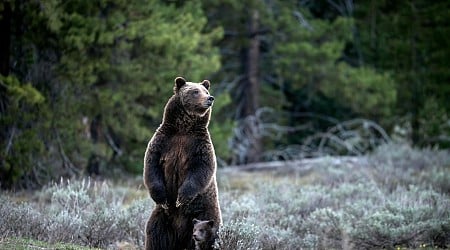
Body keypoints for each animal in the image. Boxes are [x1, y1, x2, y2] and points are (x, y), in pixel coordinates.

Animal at [144, 76, 221, 250]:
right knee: (155, 235)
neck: (184, 128)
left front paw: (181, 197)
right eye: (195, 91)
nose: (210, 99)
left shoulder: (199, 145)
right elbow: (151, 166)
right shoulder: (163, 141)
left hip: (204, 214)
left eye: (206, 91)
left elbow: (202, 169)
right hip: (162, 219)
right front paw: (163, 199)